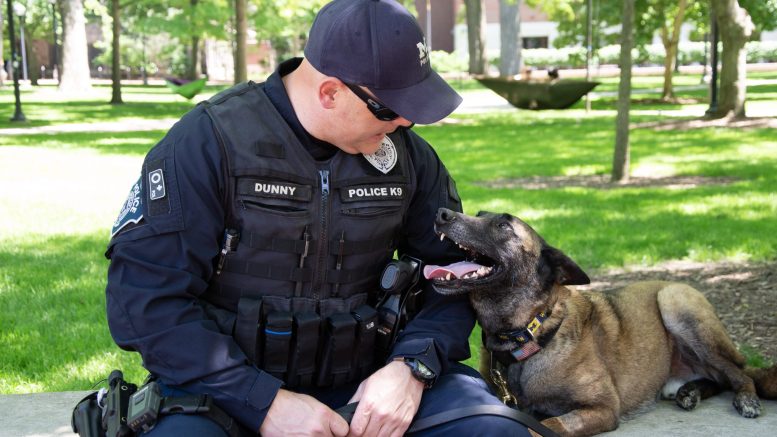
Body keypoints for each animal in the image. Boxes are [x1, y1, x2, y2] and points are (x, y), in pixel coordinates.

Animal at [424, 209, 776, 436]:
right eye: (480, 213)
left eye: (502, 226)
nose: (442, 213)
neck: (530, 333)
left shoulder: (602, 409)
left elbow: (545, 427)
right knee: (719, 379)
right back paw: (690, 391)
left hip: (676, 301)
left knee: (740, 374)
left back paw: (746, 399)